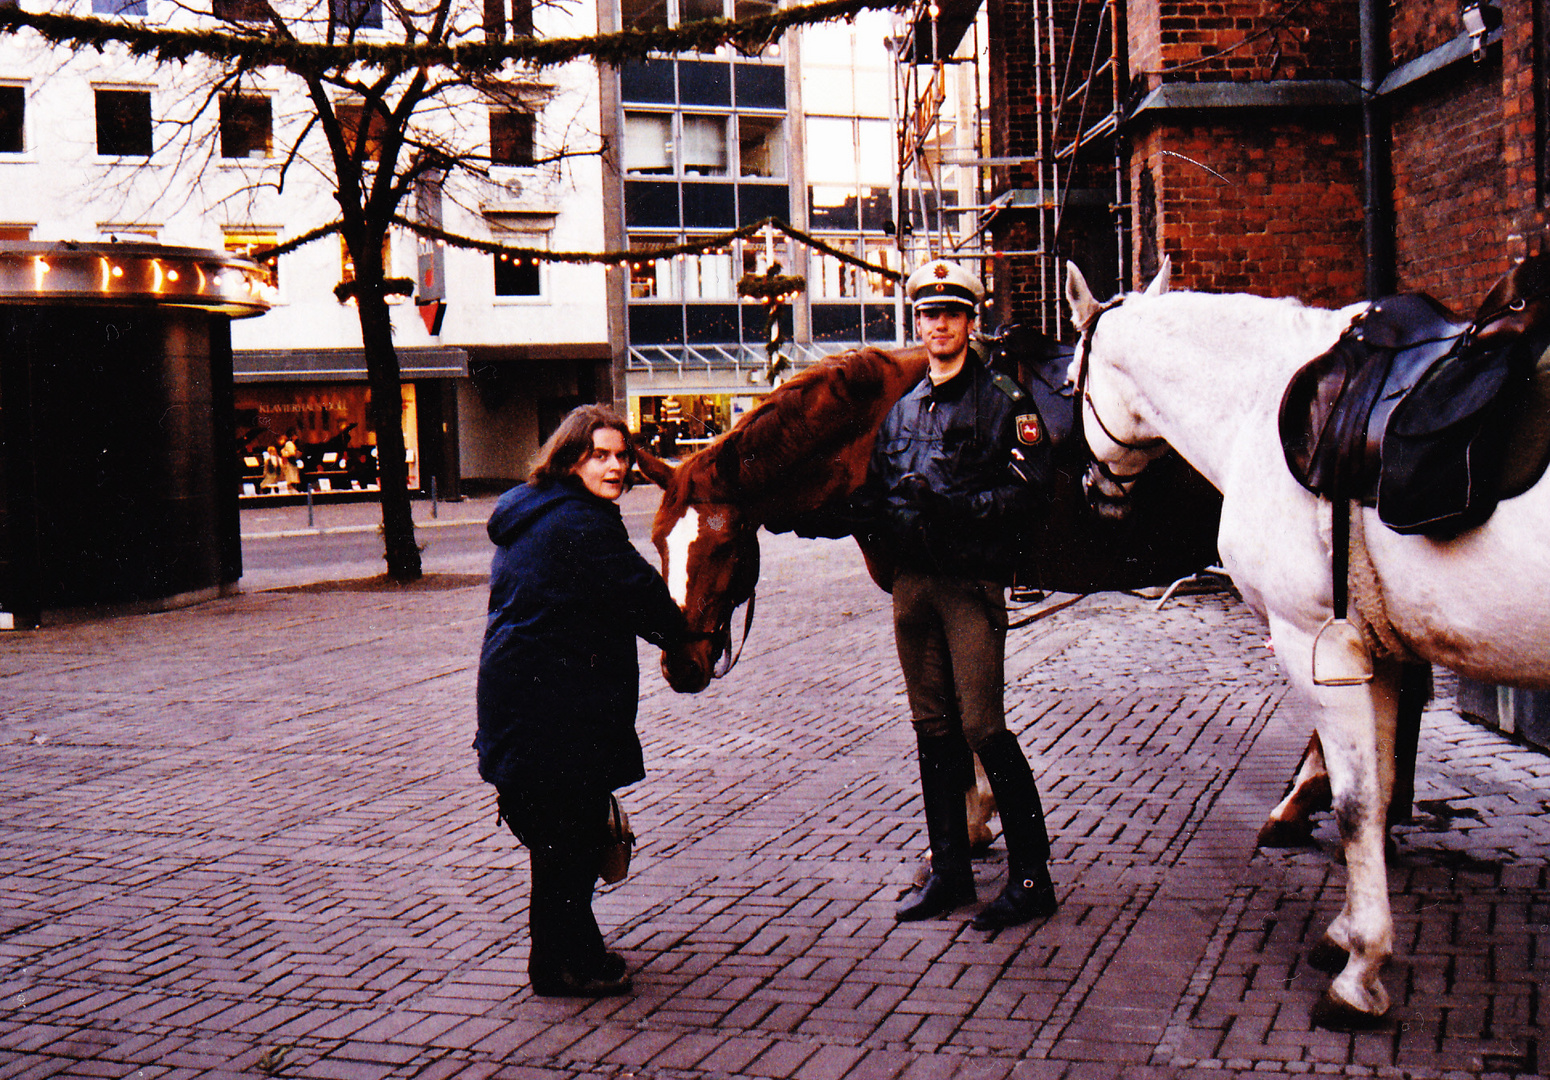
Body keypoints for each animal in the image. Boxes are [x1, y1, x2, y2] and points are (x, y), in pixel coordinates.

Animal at [1066, 257, 1550, 1022]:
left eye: (1069, 384)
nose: (1095, 490)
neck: (1258, 403)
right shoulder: (1377, 651)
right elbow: (1379, 787)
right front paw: (1348, 932)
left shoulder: (1316, 644)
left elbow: (1355, 805)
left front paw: (1361, 971)